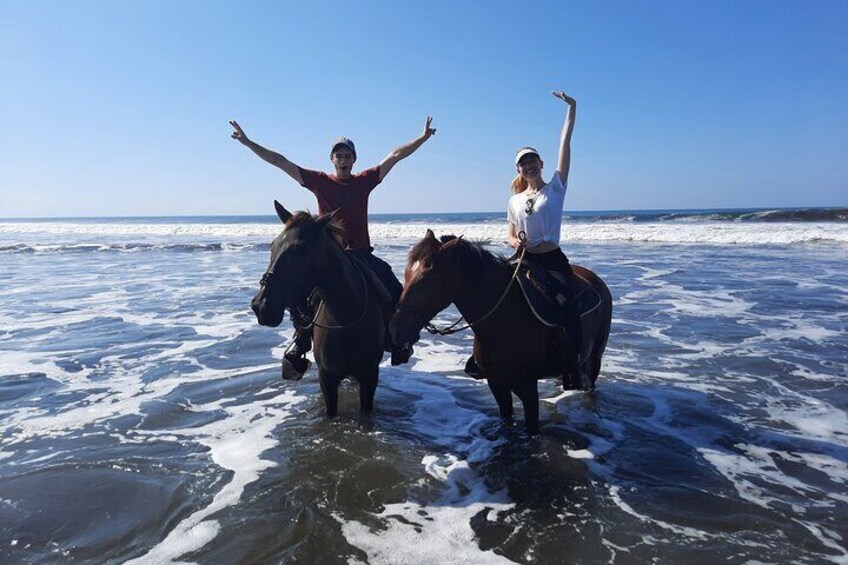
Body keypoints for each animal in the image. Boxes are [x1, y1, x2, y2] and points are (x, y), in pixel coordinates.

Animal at [252, 200, 384, 416]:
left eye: (301, 249)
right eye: (273, 245)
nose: (260, 306)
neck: (345, 317)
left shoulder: (369, 376)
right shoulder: (327, 378)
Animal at [388, 231, 612, 434]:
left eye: (428, 277)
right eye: (407, 272)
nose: (395, 330)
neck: (501, 321)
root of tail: (596, 281)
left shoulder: (528, 388)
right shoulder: (496, 384)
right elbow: (506, 418)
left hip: (595, 357)